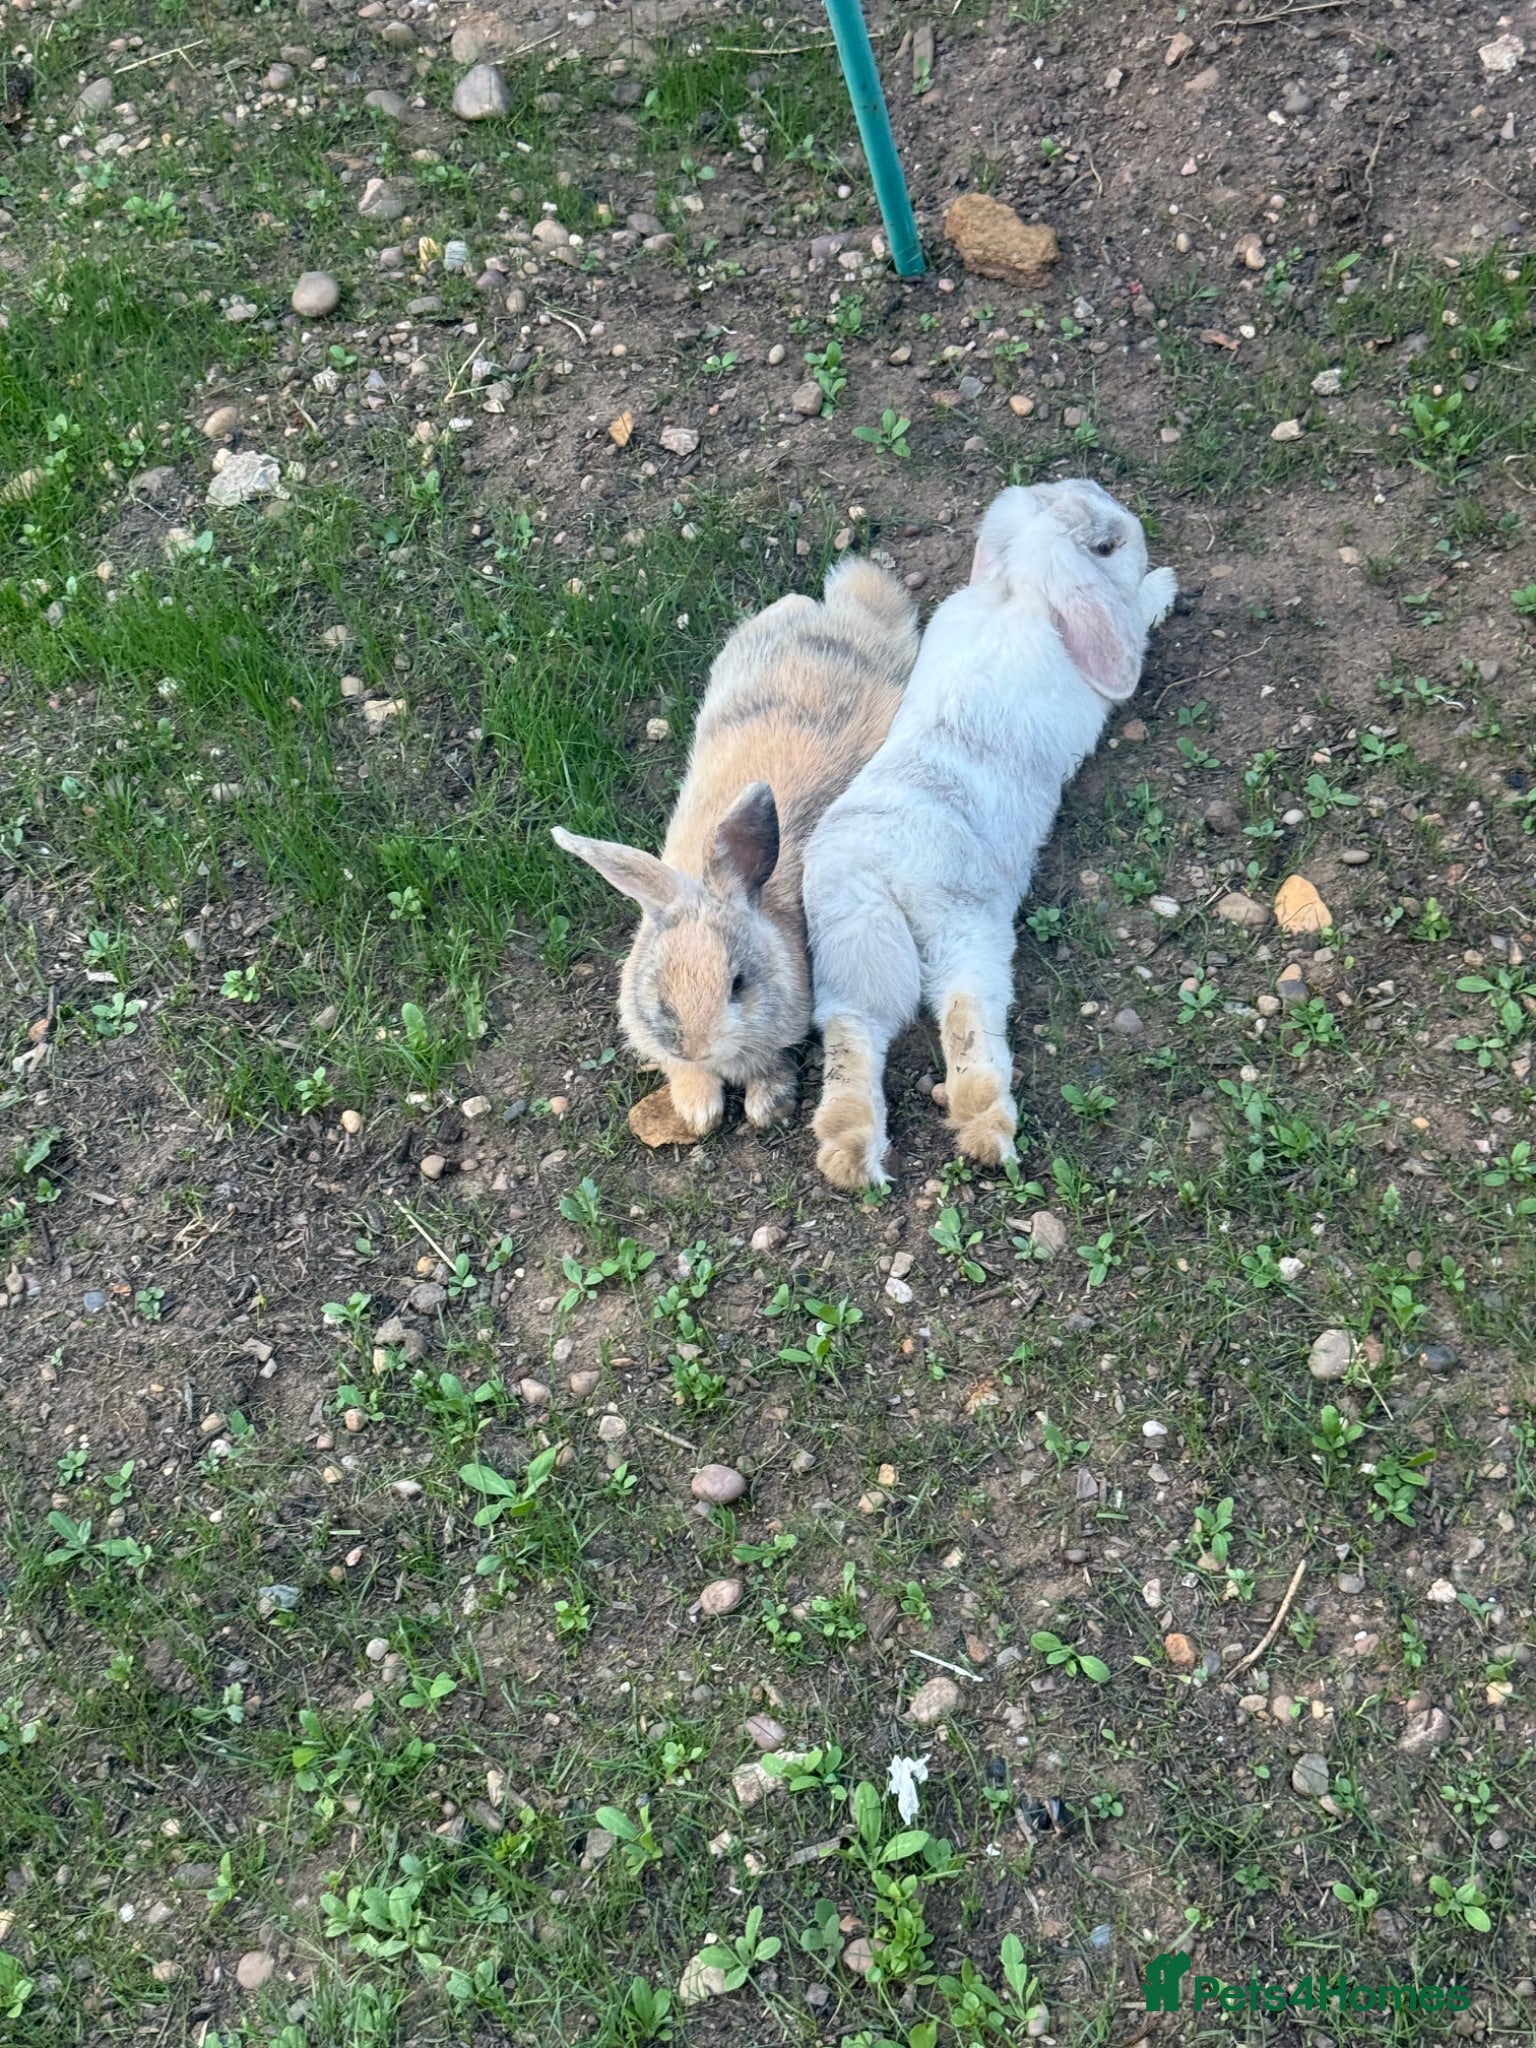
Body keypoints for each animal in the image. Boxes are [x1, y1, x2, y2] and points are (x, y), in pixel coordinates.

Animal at [552, 558, 919, 1139]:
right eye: (661, 992)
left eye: (738, 984)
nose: (696, 1046)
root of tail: (847, 609)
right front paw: (698, 1109)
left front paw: (766, 1106)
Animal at [804, 478, 1177, 1190]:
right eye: (1106, 545)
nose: (1144, 536)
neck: (1019, 594)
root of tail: (887, 866)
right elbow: (1137, 619)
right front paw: (1163, 585)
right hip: (966, 927)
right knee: (964, 1015)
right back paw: (987, 1134)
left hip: (851, 939)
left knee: (854, 1030)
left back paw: (850, 1154)